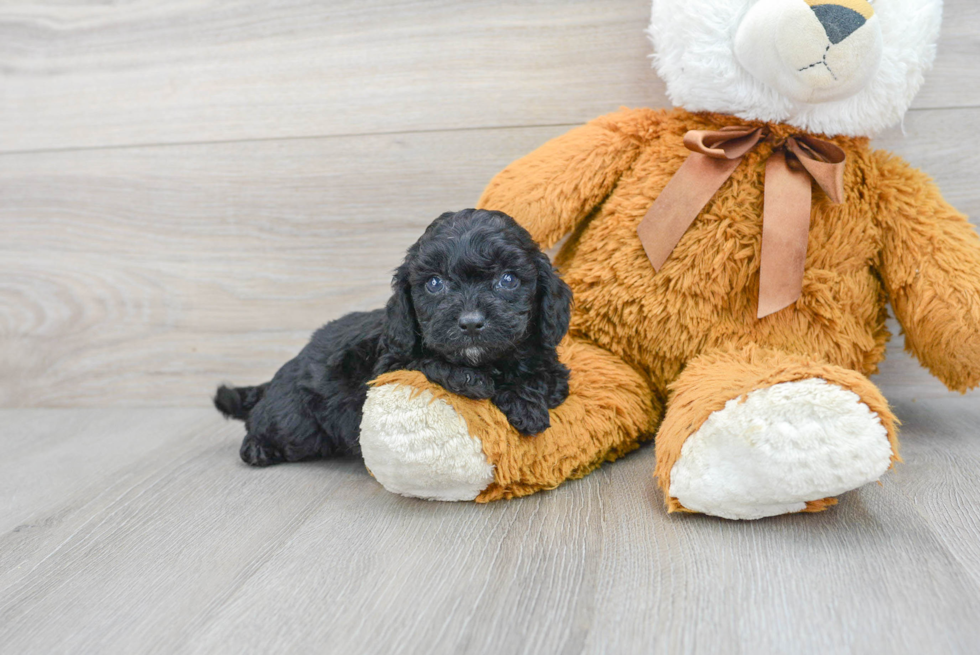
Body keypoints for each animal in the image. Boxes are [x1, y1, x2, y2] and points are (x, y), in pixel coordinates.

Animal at [211, 210, 572, 466]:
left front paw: (525, 399)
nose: (470, 323)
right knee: (268, 425)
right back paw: (257, 448)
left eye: (508, 279)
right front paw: (473, 379)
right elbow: (424, 360)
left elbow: (545, 378)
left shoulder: (552, 366)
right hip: (295, 424)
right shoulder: (387, 363)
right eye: (435, 283)